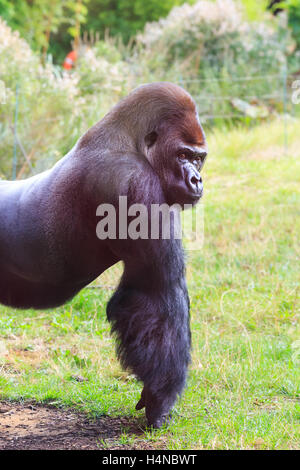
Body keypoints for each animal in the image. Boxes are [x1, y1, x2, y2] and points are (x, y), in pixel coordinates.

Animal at [0, 82, 206, 428]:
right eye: (182, 155)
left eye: (199, 158)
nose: (197, 179)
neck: (132, 142)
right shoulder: (138, 186)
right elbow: (155, 293)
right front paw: (160, 398)